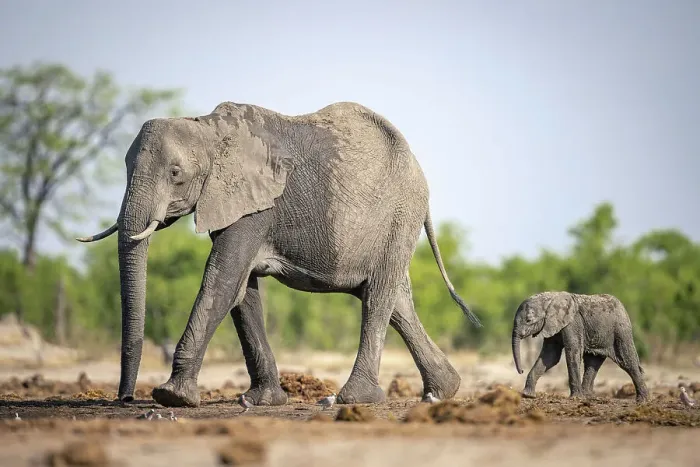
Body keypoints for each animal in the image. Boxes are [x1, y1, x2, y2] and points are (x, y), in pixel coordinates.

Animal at [77, 101, 482, 408]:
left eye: (175, 173)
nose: (125, 399)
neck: (209, 129)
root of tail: (416, 164)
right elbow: (241, 291)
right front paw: (260, 401)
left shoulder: (256, 205)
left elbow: (222, 280)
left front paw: (172, 397)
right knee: (396, 301)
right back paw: (441, 392)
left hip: (399, 215)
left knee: (378, 298)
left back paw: (352, 399)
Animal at [511, 291, 649, 402]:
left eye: (528, 320)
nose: (521, 371)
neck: (550, 297)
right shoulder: (552, 325)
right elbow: (550, 356)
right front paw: (528, 395)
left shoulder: (573, 323)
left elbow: (573, 351)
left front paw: (575, 398)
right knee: (593, 362)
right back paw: (587, 396)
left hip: (621, 330)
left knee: (628, 361)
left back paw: (642, 400)